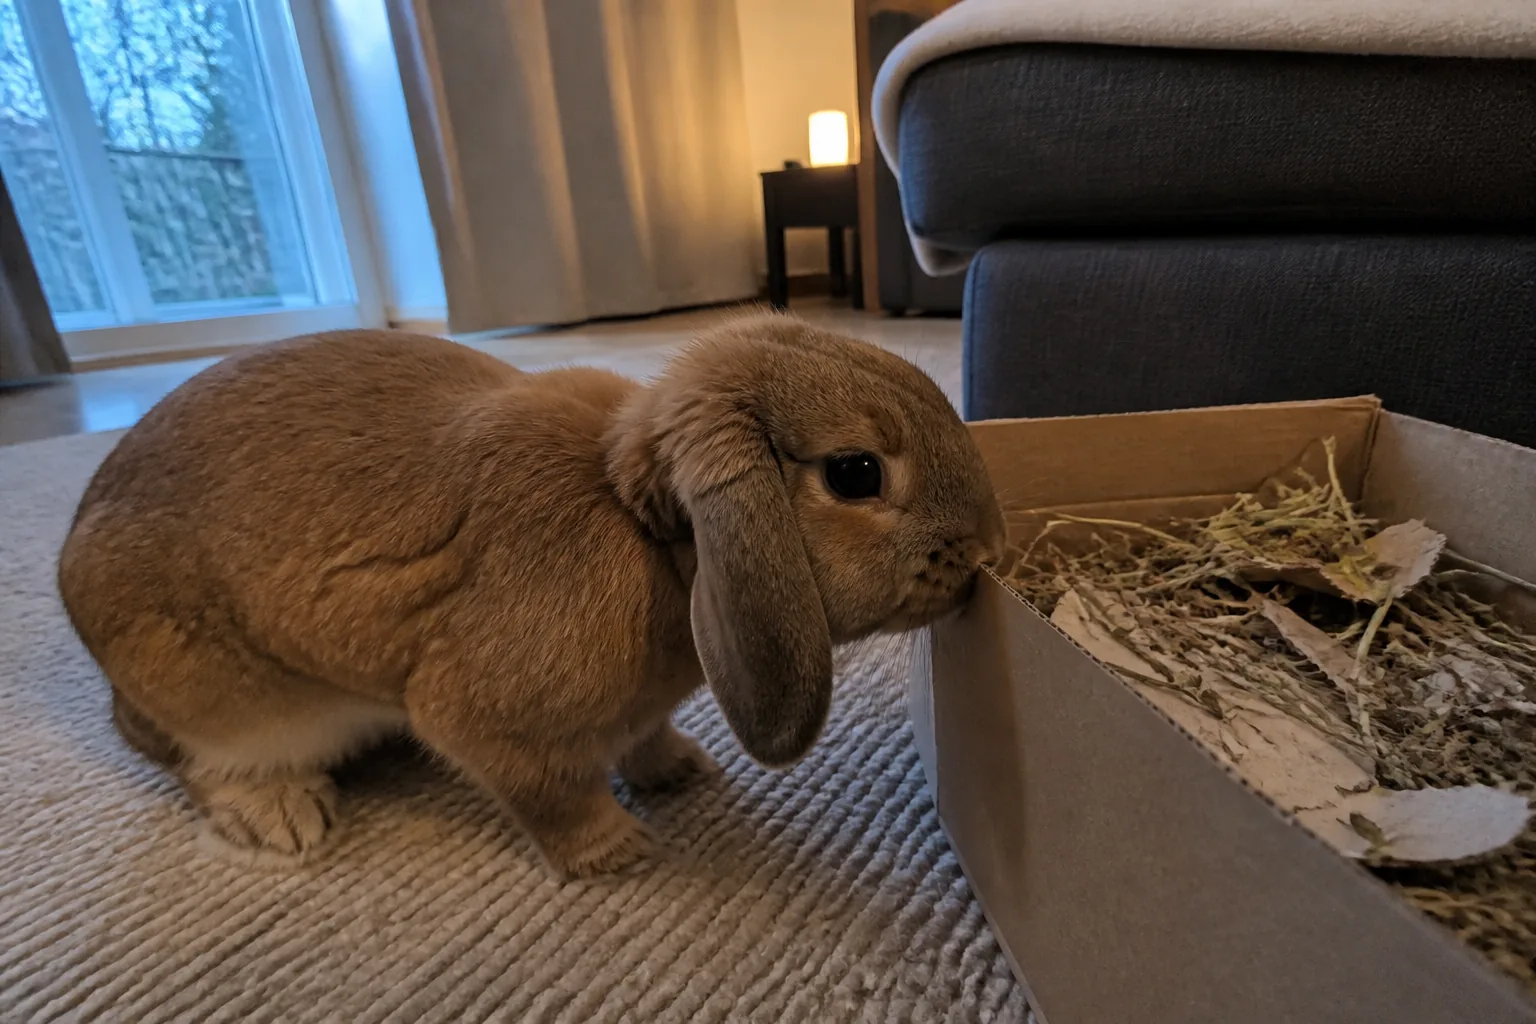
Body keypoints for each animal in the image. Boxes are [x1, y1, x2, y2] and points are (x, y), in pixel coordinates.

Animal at [57, 311, 1006, 878]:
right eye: (855, 474)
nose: (988, 547)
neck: (648, 536)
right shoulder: (486, 724)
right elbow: (552, 794)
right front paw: (618, 853)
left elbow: (643, 737)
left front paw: (680, 773)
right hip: (223, 701)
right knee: (186, 759)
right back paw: (281, 817)